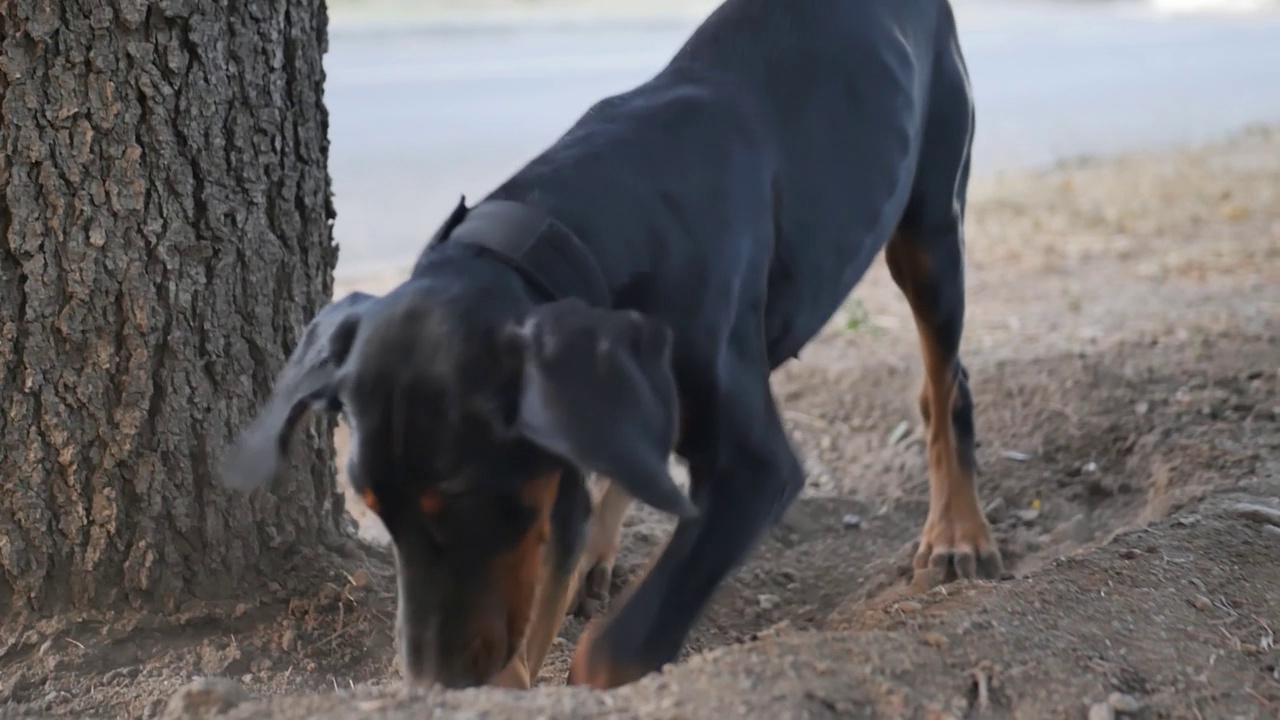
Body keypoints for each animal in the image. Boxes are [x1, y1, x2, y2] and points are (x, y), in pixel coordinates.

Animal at [220, 0, 998, 691]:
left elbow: (614, 648)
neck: (572, 230)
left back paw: (958, 532)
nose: (434, 683)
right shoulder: (554, 453)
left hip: (931, 225)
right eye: (372, 507)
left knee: (946, 382)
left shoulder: (753, 472)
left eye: (463, 500)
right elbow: (547, 574)